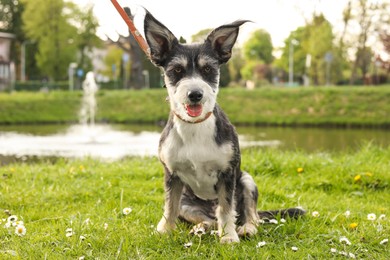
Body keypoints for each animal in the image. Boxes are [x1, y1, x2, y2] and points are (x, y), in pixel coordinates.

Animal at [139, 8, 304, 244]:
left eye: (208, 69)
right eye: (177, 70)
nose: (195, 94)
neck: (195, 128)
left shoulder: (228, 175)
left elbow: (226, 209)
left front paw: (228, 237)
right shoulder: (171, 175)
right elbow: (169, 206)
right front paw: (163, 231)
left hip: (247, 181)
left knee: (250, 216)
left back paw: (245, 228)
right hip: (187, 202)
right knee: (206, 218)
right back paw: (201, 228)